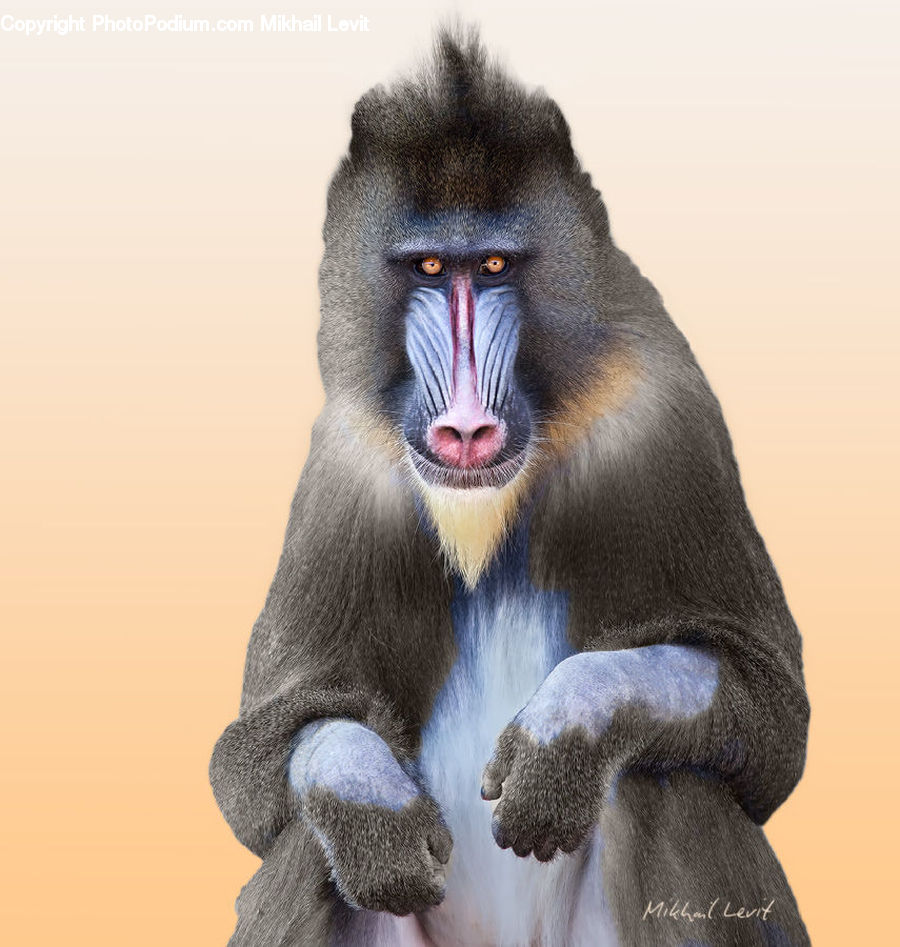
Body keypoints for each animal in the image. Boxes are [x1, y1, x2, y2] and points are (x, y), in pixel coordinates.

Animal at [210, 24, 811, 947]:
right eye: (428, 267)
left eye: (493, 264)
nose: (466, 430)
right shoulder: (343, 468)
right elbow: (259, 754)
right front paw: (366, 800)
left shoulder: (667, 415)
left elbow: (772, 718)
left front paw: (570, 728)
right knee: (308, 845)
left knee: (669, 779)